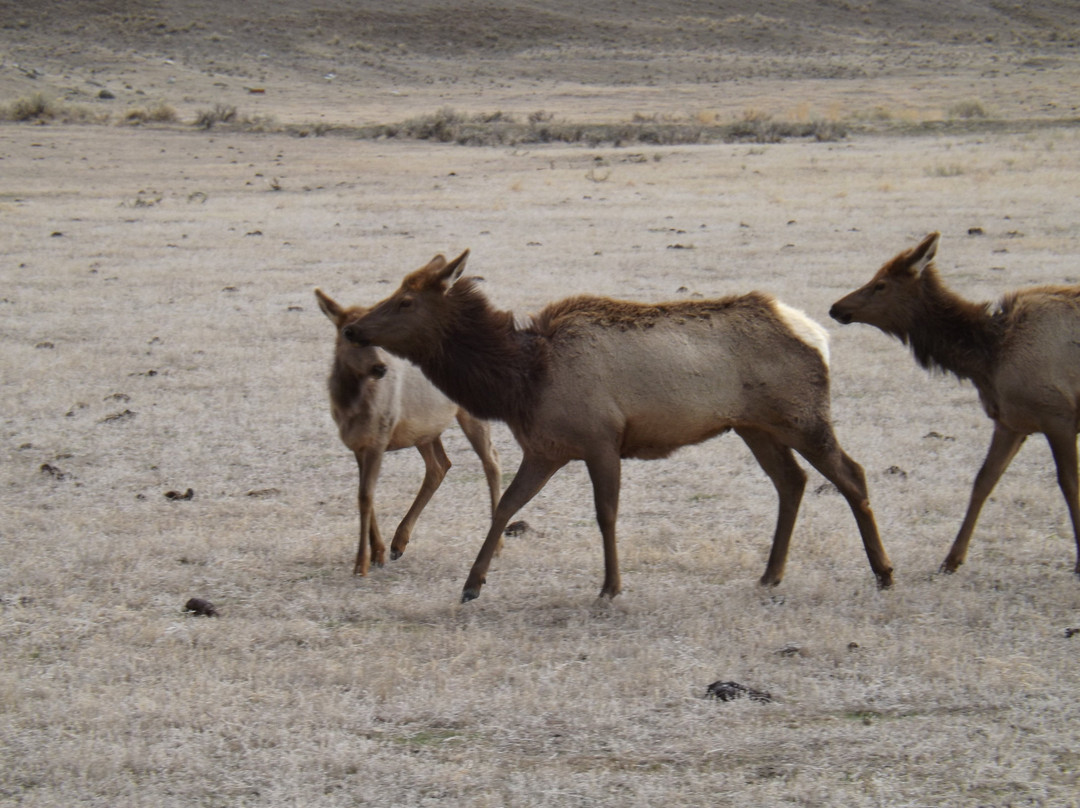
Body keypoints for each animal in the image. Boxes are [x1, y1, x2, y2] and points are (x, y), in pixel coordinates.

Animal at [314, 289, 503, 577]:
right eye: (347, 332)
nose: (380, 367)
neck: (349, 408)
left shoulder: (379, 437)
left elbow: (365, 496)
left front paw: (361, 564)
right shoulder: (358, 445)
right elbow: (366, 495)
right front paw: (378, 552)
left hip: (471, 411)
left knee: (491, 460)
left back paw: (498, 545)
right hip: (425, 430)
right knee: (440, 465)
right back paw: (398, 543)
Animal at [337, 250, 894, 602]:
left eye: (406, 300)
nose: (354, 327)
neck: (523, 381)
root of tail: (816, 333)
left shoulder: (602, 439)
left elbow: (605, 515)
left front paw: (610, 586)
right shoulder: (546, 447)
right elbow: (506, 508)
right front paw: (472, 583)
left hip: (802, 415)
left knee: (852, 473)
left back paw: (883, 572)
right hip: (754, 426)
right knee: (792, 481)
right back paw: (770, 574)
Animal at [830, 231, 1080, 576]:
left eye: (880, 284)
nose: (836, 308)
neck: (989, 358)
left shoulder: (1059, 416)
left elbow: (1070, 485)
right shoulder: (1010, 421)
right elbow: (983, 481)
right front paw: (951, 559)